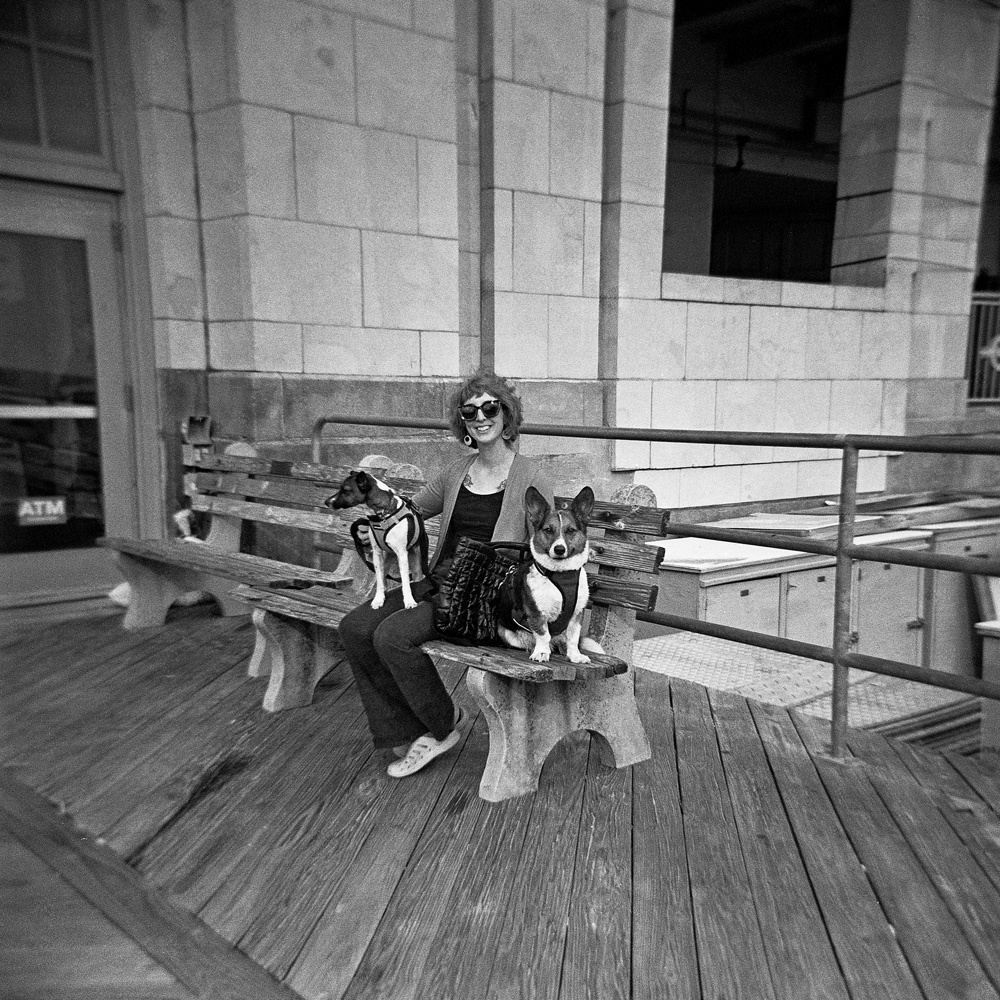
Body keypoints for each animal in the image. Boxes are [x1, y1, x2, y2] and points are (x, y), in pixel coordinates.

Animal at [324, 470, 426, 608]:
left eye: (346, 490)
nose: (326, 502)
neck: (382, 516)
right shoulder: (377, 554)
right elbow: (379, 580)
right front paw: (379, 599)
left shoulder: (402, 554)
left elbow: (405, 582)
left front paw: (409, 600)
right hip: (386, 560)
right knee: (383, 578)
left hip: (415, 564)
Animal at [498, 486, 596, 664]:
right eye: (548, 530)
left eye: (571, 530)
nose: (559, 549)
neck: (561, 574)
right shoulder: (537, 613)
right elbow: (543, 635)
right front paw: (542, 653)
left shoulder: (576, 615)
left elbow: (573, 638)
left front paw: (575, 655)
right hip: (507, 633)